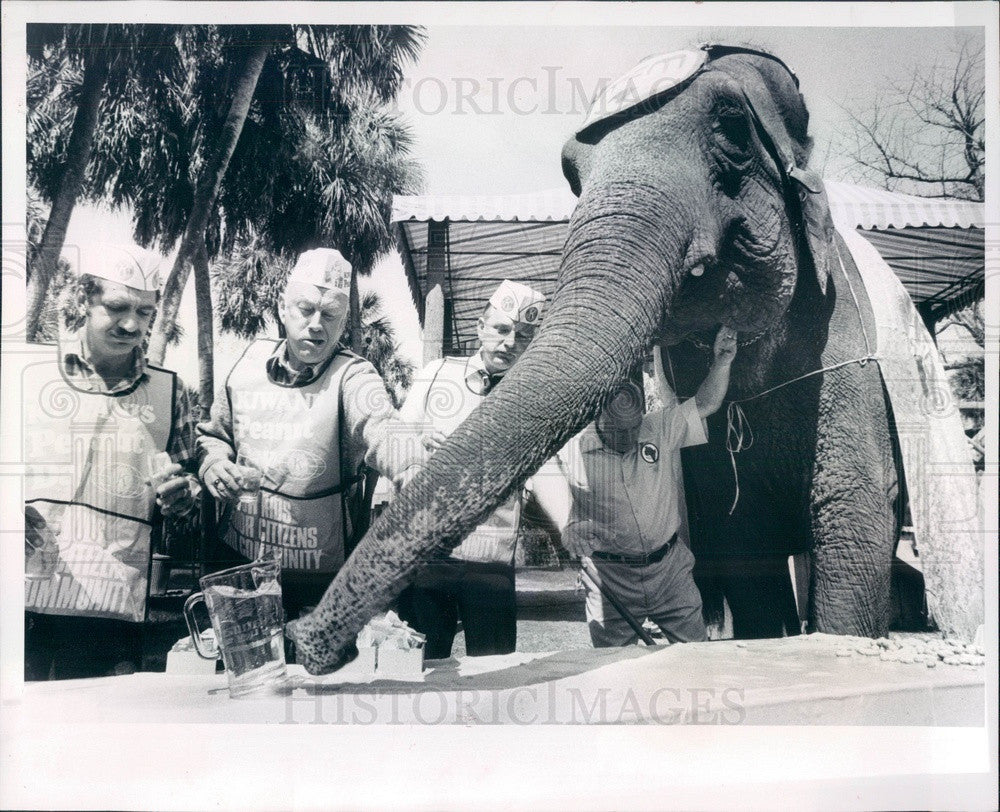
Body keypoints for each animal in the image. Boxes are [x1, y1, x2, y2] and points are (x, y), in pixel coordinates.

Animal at [288, 41, 908, 668]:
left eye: (733, 127)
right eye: (571, 174)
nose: (305, 641)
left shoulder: (844, 343)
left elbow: (856, 515)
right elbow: (741, 545)